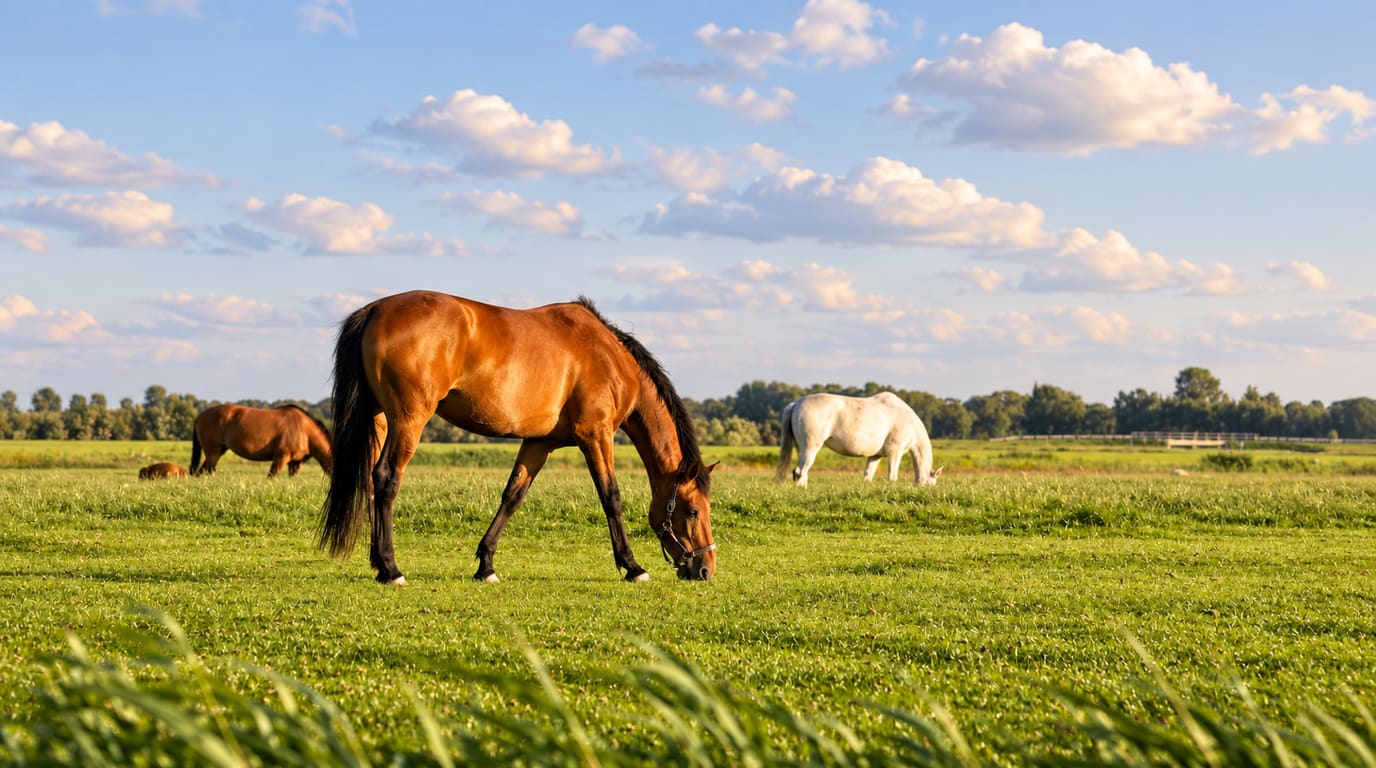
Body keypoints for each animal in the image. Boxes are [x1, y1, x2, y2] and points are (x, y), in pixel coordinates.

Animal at [190, 404, 333, 478]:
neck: (303, 429)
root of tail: (200, 416)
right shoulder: (281, 457)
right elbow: (272, 476)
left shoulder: (294, 463)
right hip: (213, 452)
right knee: (206, 471)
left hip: (218, 451)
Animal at [319, 290, 717, 586]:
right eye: (693, 510)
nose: (705, 569)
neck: (609, 357)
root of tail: (375, 310)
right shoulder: (596, 435)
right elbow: (611, 498)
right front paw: (633, 567)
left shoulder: (539, 442)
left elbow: (512, 497)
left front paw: (486, 566)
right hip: (408, 420)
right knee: (386, 479)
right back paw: (391, 569)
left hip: (378, 419)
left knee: (371, 482)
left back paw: (379, 564)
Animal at [775, 392, 943, 488]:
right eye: (931, 484)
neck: (907, 420)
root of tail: (796, 403)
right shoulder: (895, 452)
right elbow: (892, 476)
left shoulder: (875, 456)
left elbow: (868, 476)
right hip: (810, 449)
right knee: (800, 472)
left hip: (801, 449)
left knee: (802, 472)